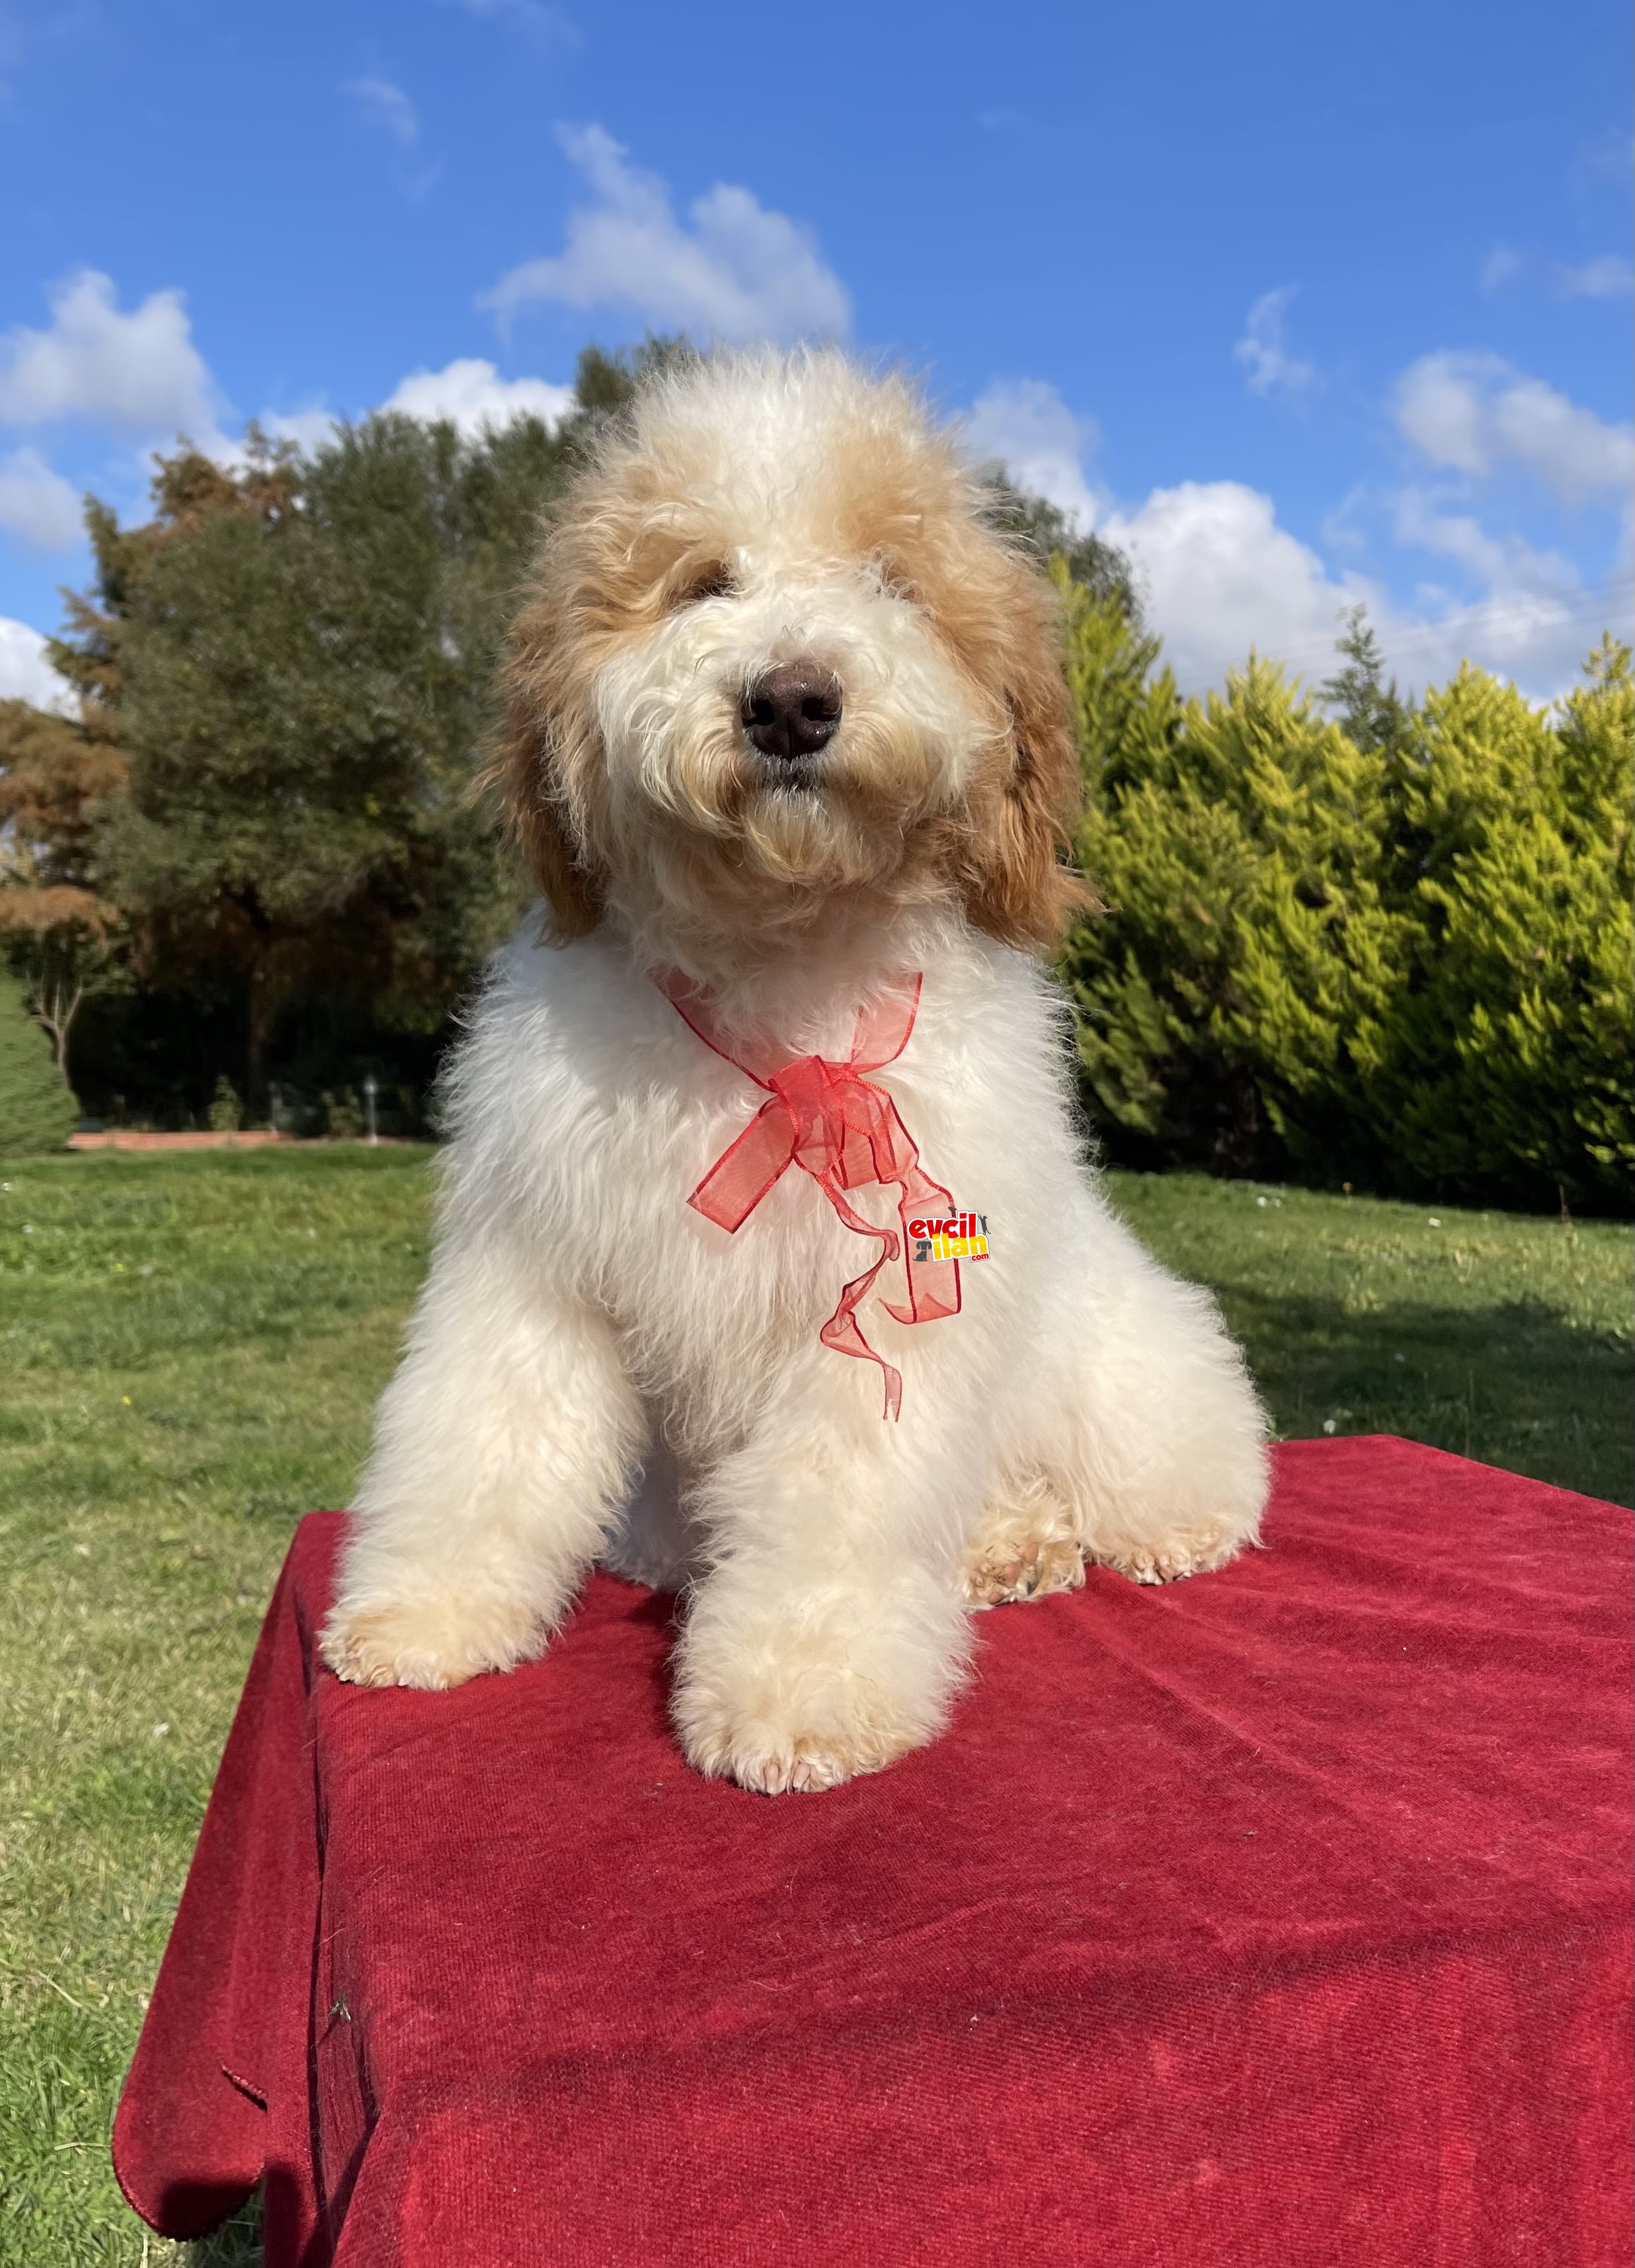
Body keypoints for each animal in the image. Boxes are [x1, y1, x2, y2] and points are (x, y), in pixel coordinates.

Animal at [315, 349, 1261, 1787]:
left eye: (893, 579)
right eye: (701, 580)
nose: (791, 700)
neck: (782, 977)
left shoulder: (885, 1313)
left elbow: (839, 1500)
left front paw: (801, 1691)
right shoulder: (539, 1253)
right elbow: (487, 1434)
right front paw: (425, 1613)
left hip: (1111, 1361)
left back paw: (1096, 1533)